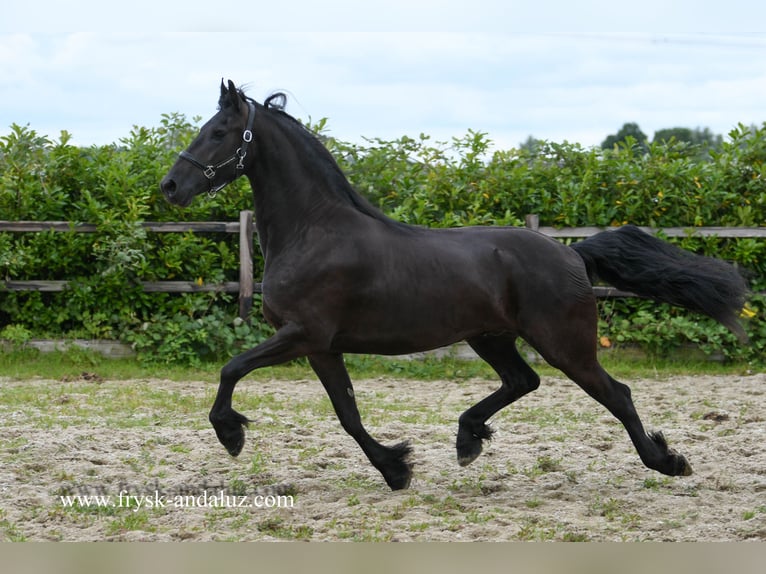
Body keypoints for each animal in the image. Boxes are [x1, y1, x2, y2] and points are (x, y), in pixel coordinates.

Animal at [160, 81, 752, 492]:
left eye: (218, 132)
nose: (170, 186)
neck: (315, 231)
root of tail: (572, 254)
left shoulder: (302, 335)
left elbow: (231, 368)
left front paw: (231, 434)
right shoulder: (322, 347)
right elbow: (348, 414)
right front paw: (396, 469)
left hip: (564, 343)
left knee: (615, 394)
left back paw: (668, 462)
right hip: (490, 336)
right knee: (523, 382)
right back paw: (468, 438)